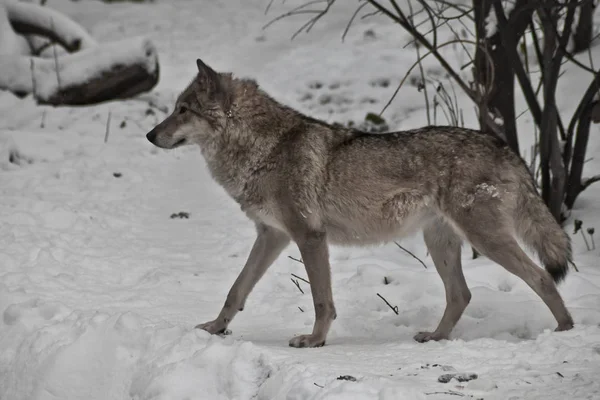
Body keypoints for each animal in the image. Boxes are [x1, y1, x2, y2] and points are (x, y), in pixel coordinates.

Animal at [144, 58, 572, 346]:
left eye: (183, 110)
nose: (149, 135)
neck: (261, 148)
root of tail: (503, 145)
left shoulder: (308, 236)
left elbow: (321, 301)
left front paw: (314, 341)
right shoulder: (272, 235)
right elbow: (236, 289)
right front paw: (216, 328)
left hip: (485, 239)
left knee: (540, 277)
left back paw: (565, 331)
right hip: (441, 243)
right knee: (461, 294)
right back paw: (435, 337)